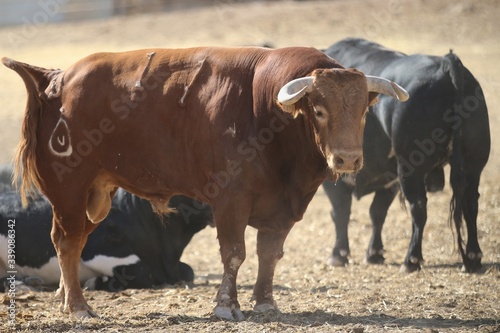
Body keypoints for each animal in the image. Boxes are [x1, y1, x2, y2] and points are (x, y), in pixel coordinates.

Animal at [322, 38, 490, 272]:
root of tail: (446, 64)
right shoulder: (390, 178)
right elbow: (377, 212)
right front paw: (374, 253)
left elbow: (341, 212)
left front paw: (339, 254)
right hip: (473, 165)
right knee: (470, 203)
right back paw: (473, 256)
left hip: (412, 168)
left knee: (418, 207)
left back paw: (412, 259)